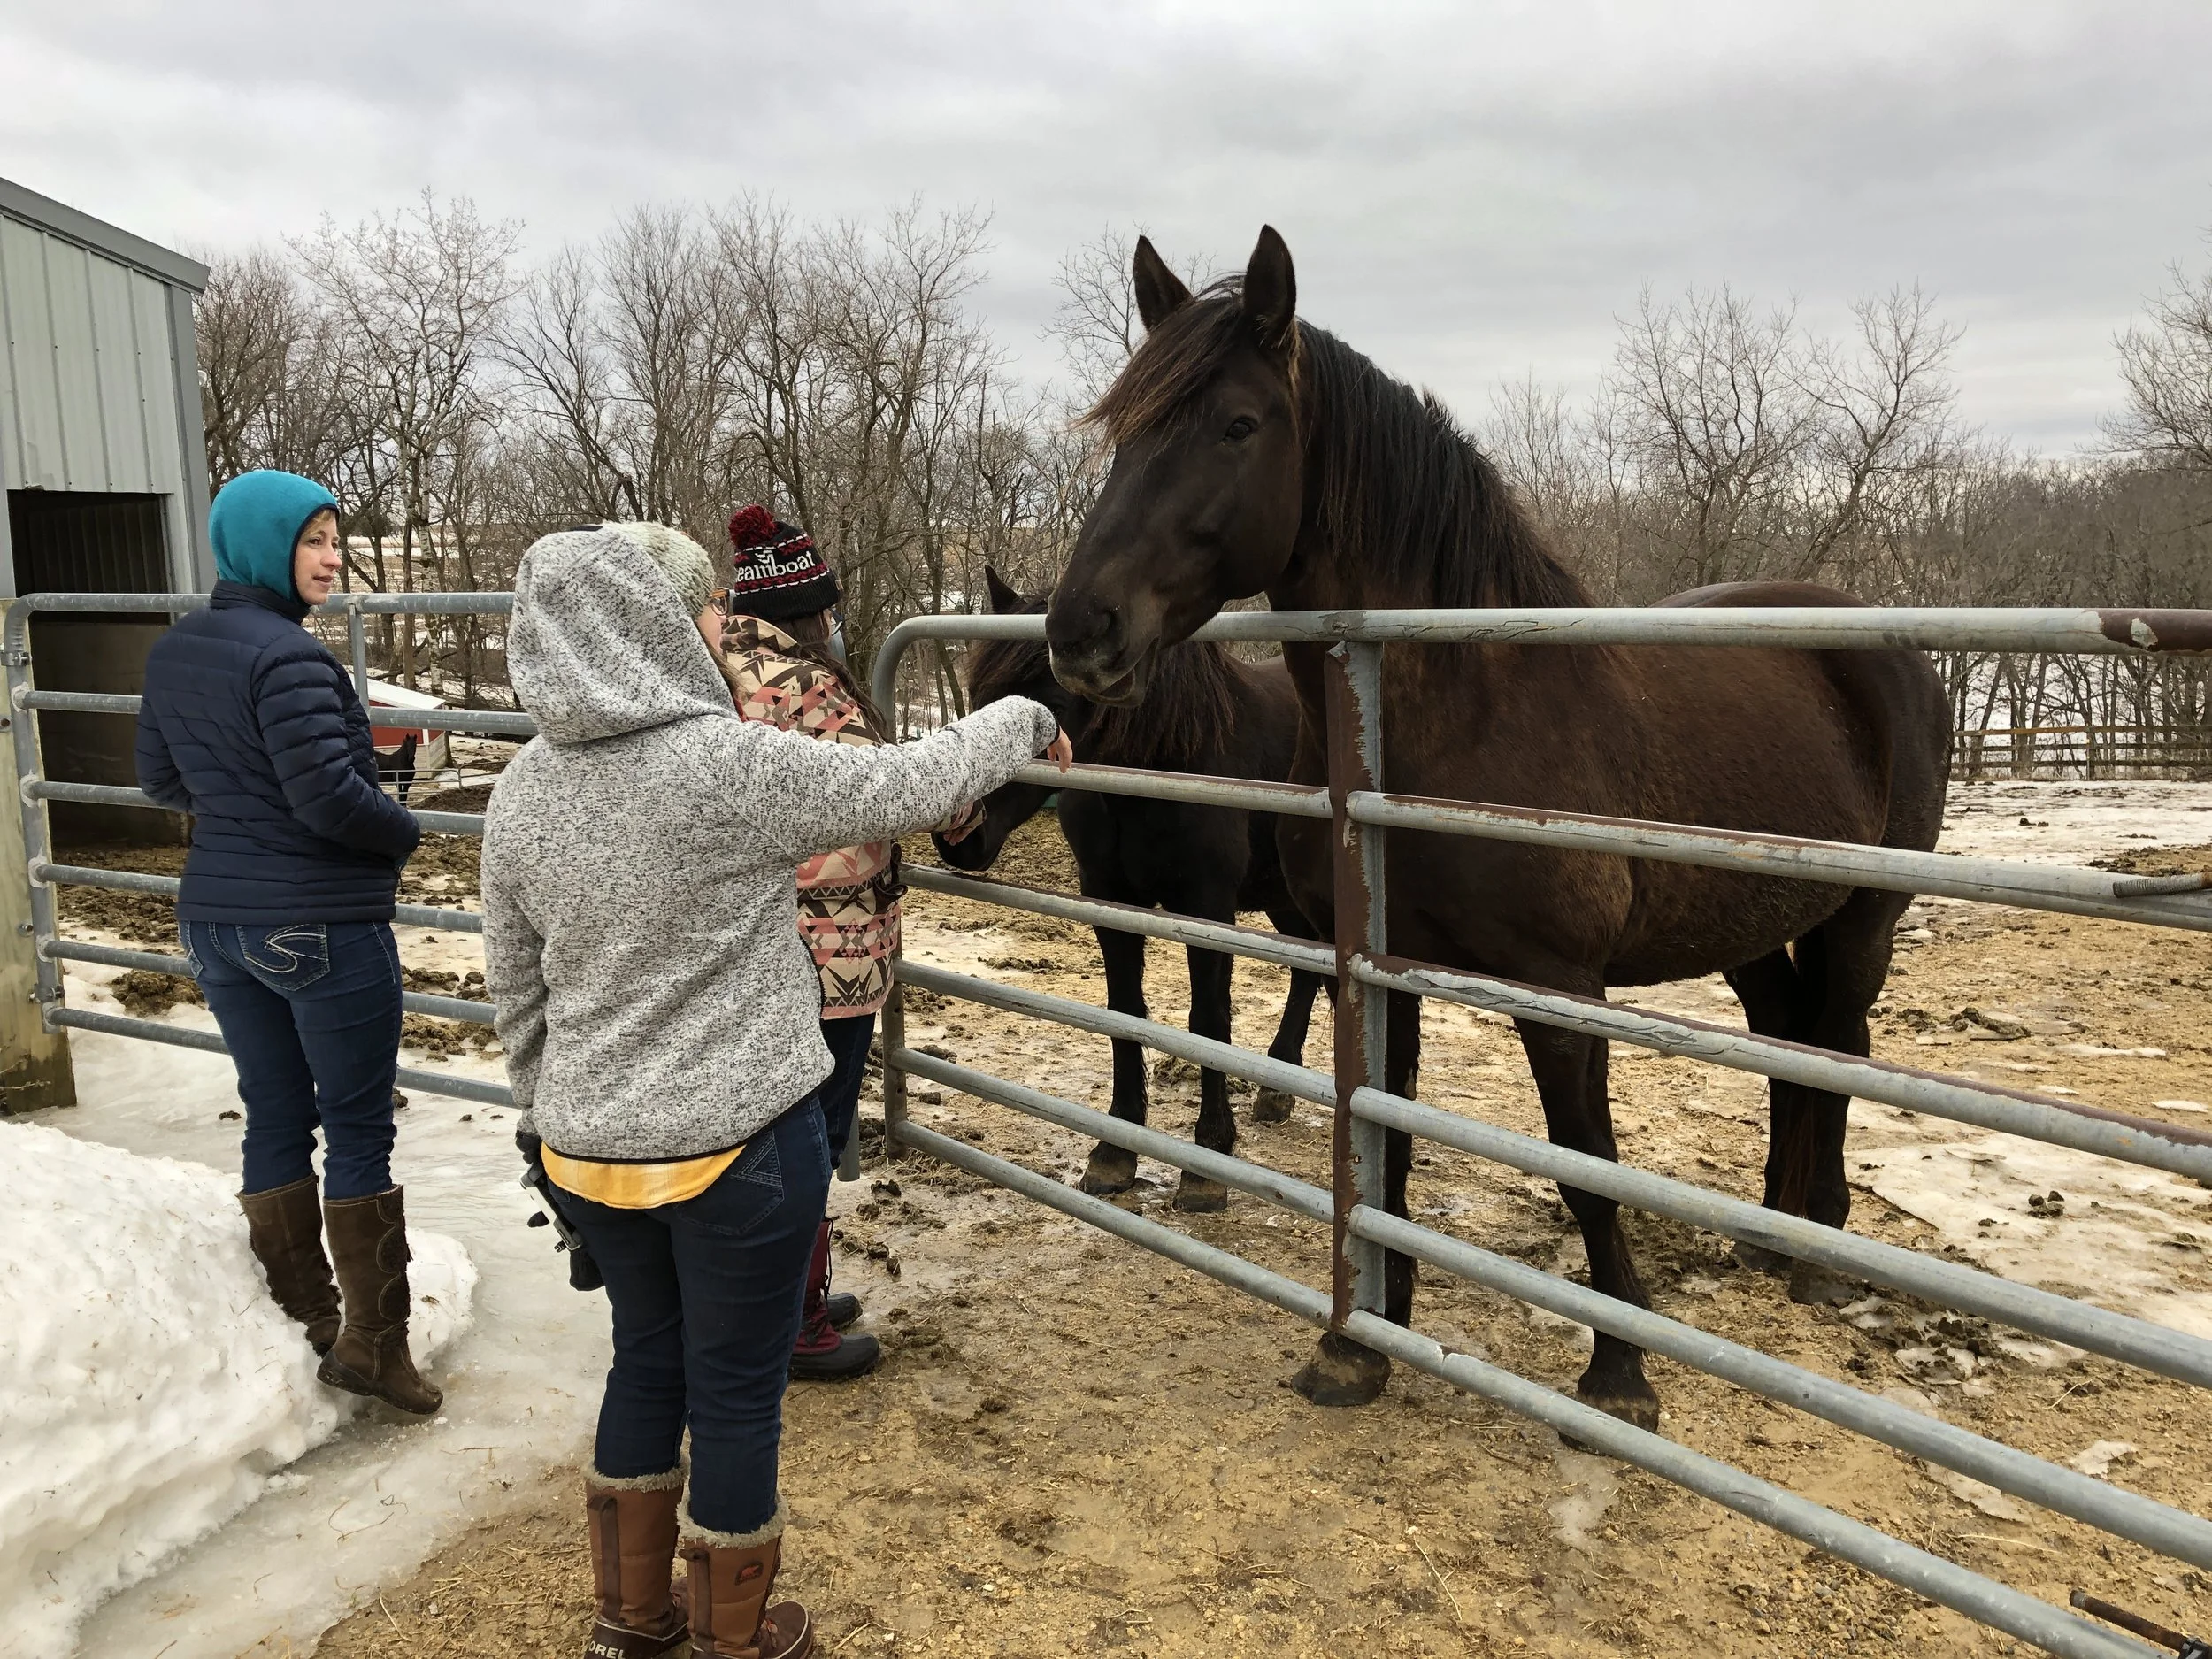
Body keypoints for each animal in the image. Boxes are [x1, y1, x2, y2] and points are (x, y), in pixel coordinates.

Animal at [932, 566, 1333, 1214]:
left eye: (1053, 708)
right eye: (977, 694)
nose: (958, 834)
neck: (1165, 762)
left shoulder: (1207, 908)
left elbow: (1209, 1020)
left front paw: (1207, 1163)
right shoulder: (1112, 901)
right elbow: (1125, 1012)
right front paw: (1116, 1150)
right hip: (1284, 899)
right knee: (1307, 971)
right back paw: (1277, 1086)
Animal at [1043, 227, 1953, 1426]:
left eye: (1237, 424)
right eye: (1124, 430)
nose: (1080, 630)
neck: (1463, 709)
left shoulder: (1558, 988)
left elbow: (1584, 1161)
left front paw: (1619, 1374)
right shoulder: (1382, 970)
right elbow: (1382, 1147)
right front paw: (1362, 1343)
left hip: (1862, 917)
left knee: (1840, 1047)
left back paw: (1817, 1253)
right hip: (1751, 926)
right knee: (1787, 1043)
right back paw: (1767, 1234)